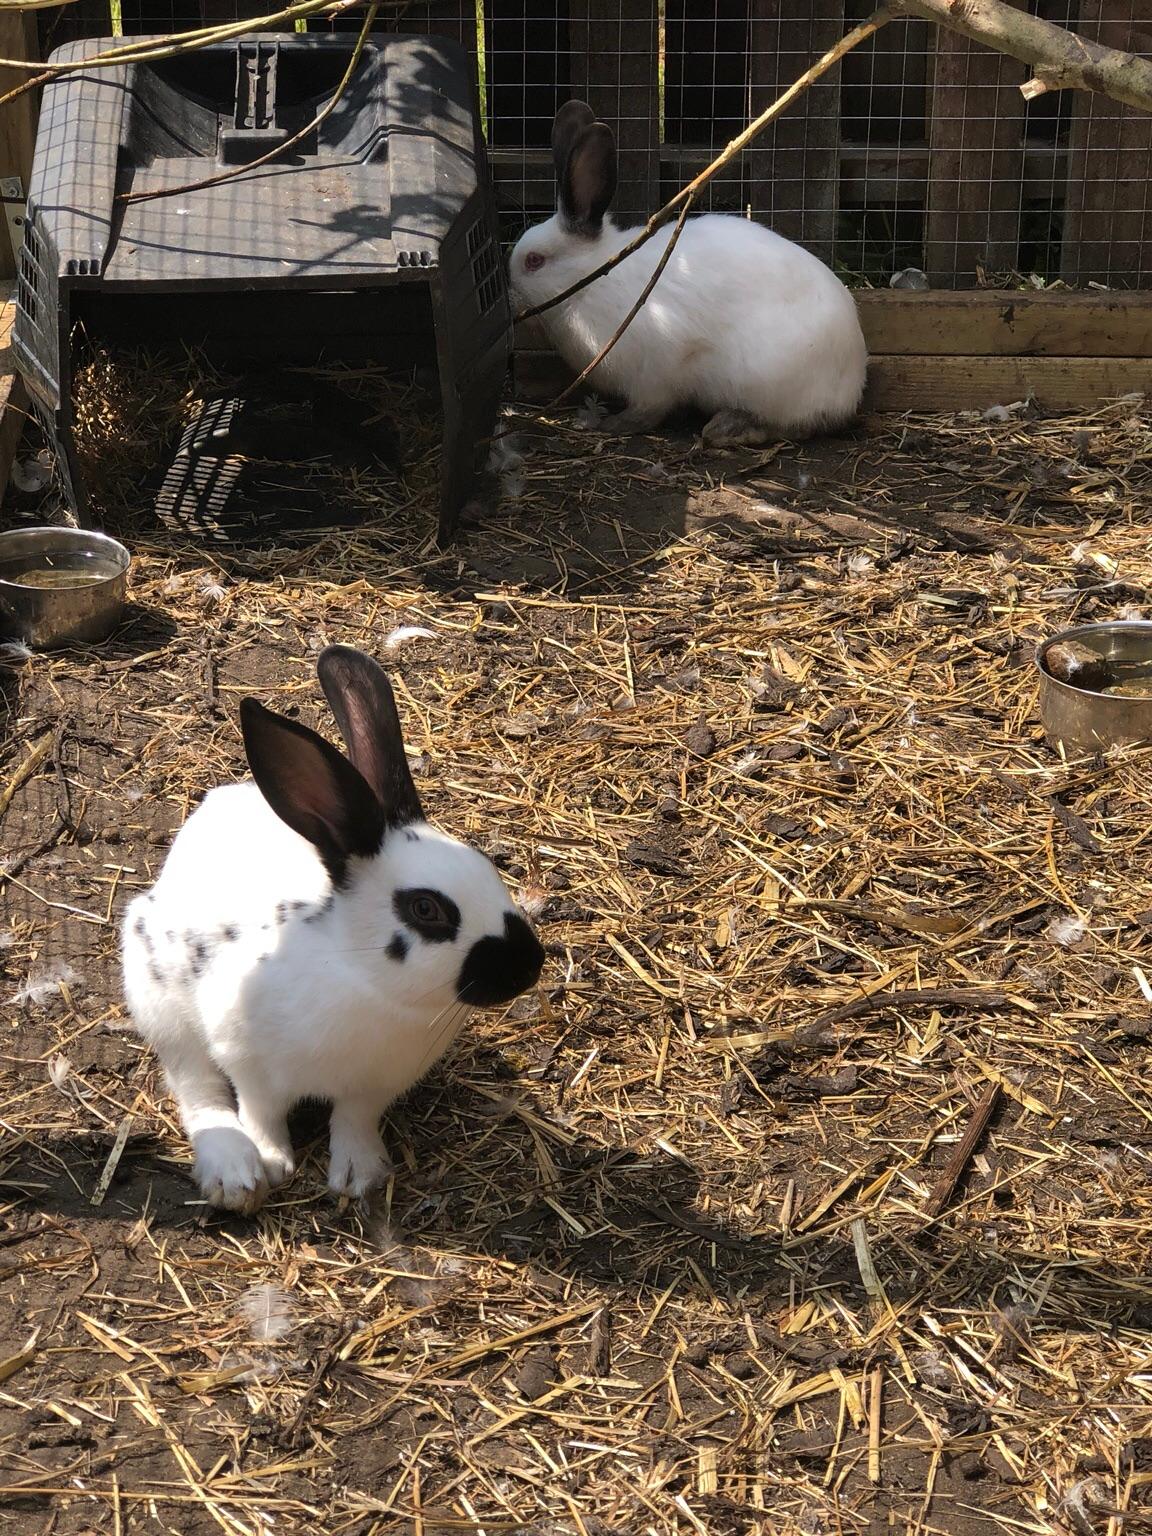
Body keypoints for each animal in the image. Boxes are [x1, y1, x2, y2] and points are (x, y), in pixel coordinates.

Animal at [121, 644, 545, 1215]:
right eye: (426, 909)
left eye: (490, 870)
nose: (528, 968)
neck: (363, 981)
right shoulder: (248, 1061)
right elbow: (261, 1110)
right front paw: (272, 1162)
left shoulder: (374, 1085)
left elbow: (353, 1120)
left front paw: (360, 1175)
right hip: (159, 1000)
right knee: (197, 1088)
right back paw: (234, 1171)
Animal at [510, 100, 868, 447]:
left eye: (534, 261)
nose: (510, 292)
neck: (593, 278)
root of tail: (851, 388)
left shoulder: (655, 373)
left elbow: (648, 409)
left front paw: (615, 424)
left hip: (771, 382)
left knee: (794, 426)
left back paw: (727, 429)